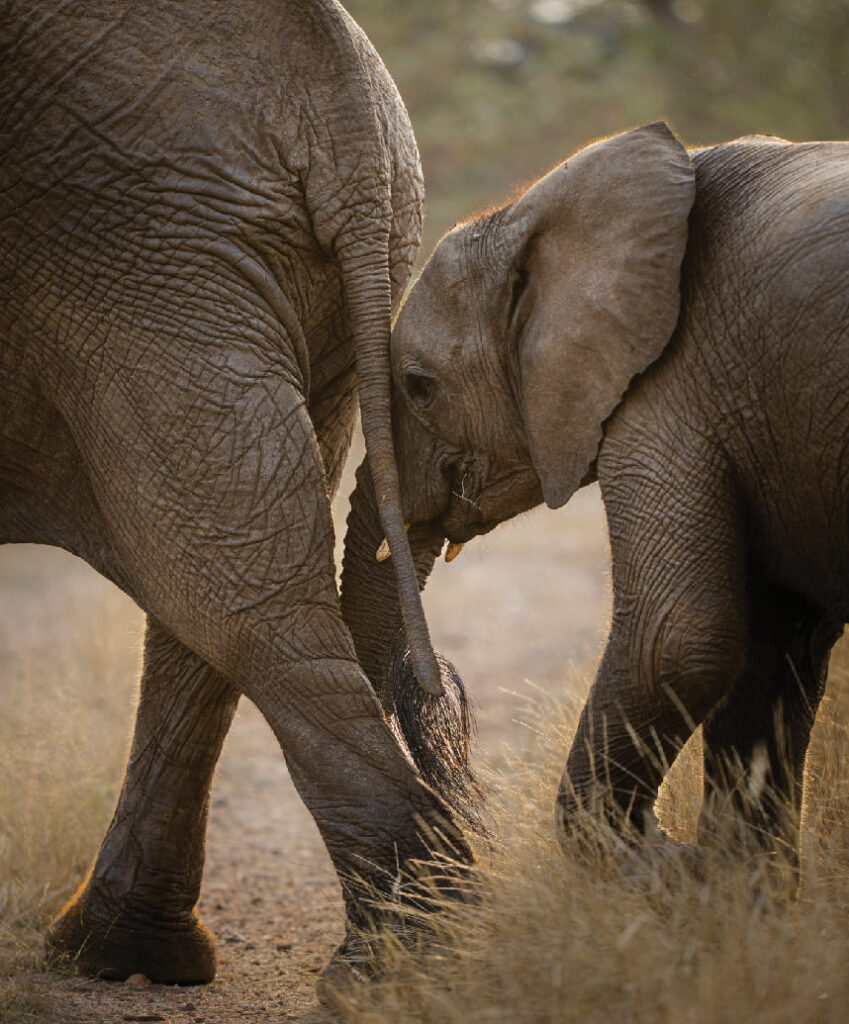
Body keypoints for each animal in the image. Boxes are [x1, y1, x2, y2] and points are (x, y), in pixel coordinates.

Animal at [0, 0, 477, 988]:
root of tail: (345, 113)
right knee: (225, 569)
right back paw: (128, 956)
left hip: (135, 249)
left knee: (238, 598)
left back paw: (401, 972)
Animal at [387, 120, 849, 865]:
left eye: (416, 384)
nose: (440, 686)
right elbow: (776, 644)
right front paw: (721, 878)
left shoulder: (673, 381)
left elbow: (676, 637)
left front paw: (660, 865)